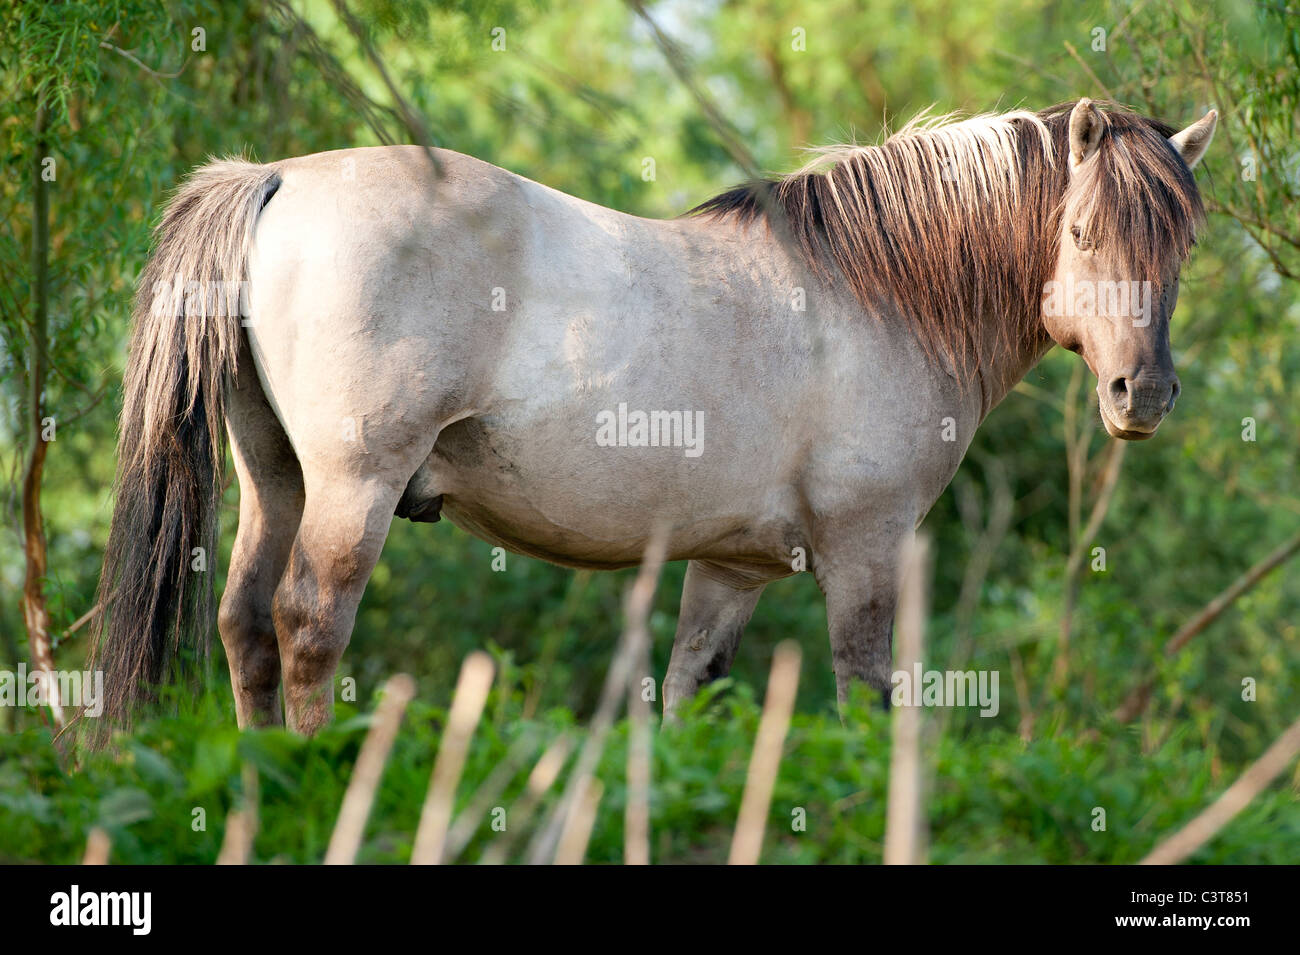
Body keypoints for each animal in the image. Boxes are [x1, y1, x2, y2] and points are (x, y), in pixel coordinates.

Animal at [91, 98, 1216, 732]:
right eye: (1083, 230)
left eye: (1182, 245)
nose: (1144, 395)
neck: (880, 292)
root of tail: (277, 177)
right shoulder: (865, 549)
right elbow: (863, 695)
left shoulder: (729, 567)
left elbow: (689, 696)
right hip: (351, 488)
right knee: (308, 627)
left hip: (273, 478)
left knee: (244, 625)